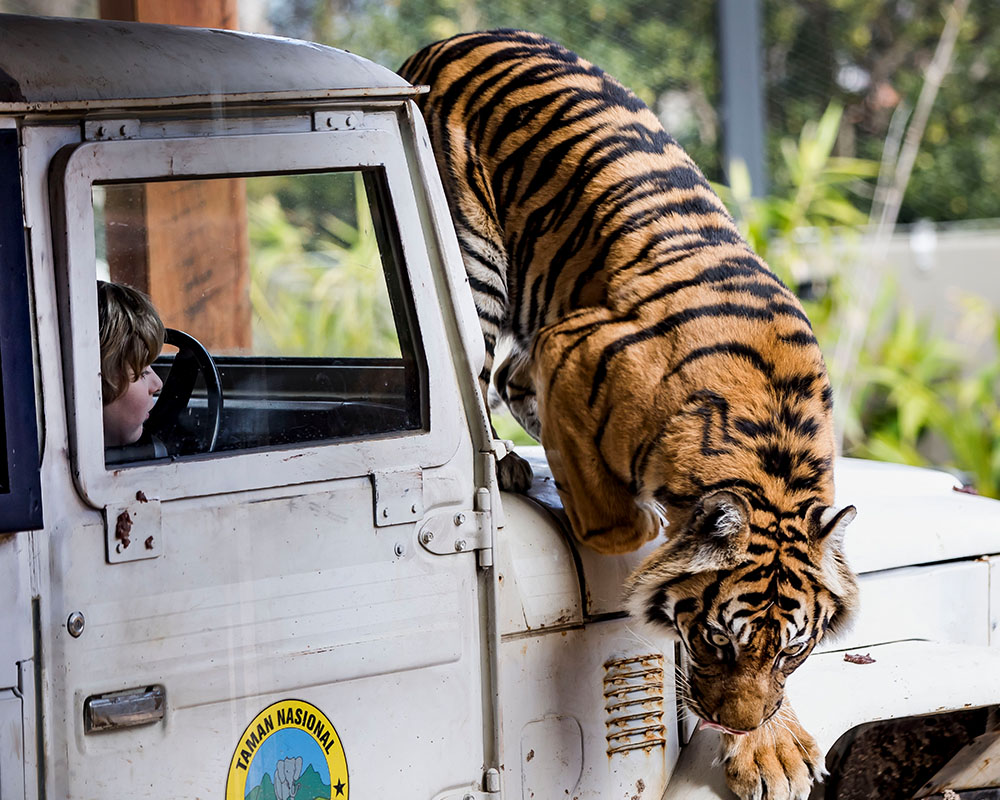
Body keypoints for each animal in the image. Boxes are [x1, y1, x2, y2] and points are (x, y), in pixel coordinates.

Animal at [398, 28, 860, 796]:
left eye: (790, 654)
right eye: (717, 640)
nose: (735, 723)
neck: (770, 456)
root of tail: (450, 37)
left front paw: (772, 749)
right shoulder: (571, 343)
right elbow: (620, 527)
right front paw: (633, 528)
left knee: (507, 376)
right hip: (475, 262)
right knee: (481, 370)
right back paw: (506, 463)